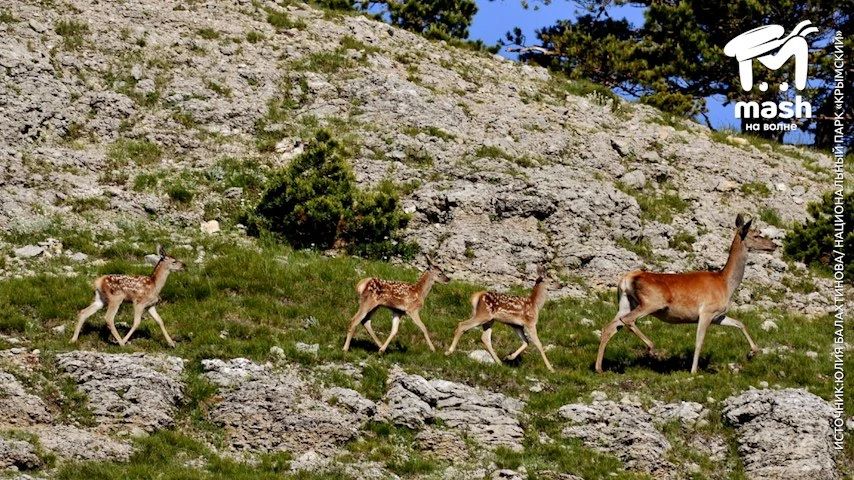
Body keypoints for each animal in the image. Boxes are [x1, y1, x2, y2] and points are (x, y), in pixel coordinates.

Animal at [595, 214, 760, 375]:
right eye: (756, 234)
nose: (768, 245)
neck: (726, 284)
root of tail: (626, 279)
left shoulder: (718, 316)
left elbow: (740, 323)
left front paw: (751, 353)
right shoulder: (707, 311)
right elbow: (699, 341)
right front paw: (693, 371)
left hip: (626, 303)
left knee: (609, 327)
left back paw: (599, 368)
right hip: (651, 302)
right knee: (627, 320)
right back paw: (650, 347)